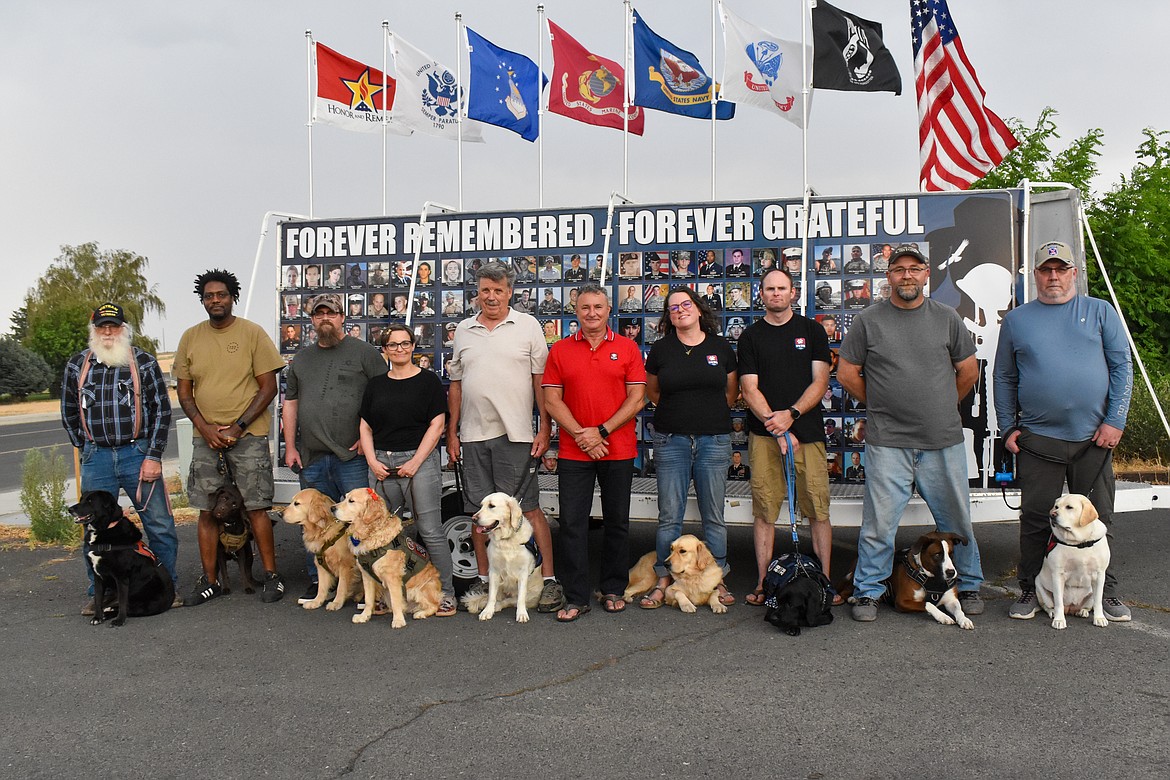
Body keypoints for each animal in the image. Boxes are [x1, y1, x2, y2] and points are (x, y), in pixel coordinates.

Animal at [68, 493, 173, 626]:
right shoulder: (98, 577)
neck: (105, 529)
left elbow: (123, 602)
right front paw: (97, 617)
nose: (69, 509)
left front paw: (119, 620)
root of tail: (171, 600)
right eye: (81, 499)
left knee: (128, 608)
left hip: (144, 603)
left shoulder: (121, 577)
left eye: (90, 501)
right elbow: (98, 599)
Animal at [334, 488, 442, 626]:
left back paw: (420, 613)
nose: (332, 508)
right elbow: (368, 599)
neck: (371, 533)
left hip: (422, 588)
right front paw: (364, 616)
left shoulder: (392, 577)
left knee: (434, 605)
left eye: (351, 501)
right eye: (345, 497)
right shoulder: (367, 575)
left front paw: (398, 620)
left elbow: (396, 602)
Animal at [460, 493, 542, 622]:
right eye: (481, 506)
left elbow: (521, 598)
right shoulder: (494, 571)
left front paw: (522, 614)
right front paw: (487, 611)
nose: (473, 519)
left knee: (509, 601)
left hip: (532, 595)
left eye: (491, 506)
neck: (506, 539)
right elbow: (491, 597)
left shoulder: (523, 572)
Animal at [1038, 498, 1109, 631]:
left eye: (1069, 507)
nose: (1052, 515)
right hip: (1039, 585)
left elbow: (1098, 602)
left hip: (1091, 593)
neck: (1079, 542)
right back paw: (1053, 612)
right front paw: (1059, 620)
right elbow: (1058, 602)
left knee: (1088, 605)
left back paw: (1082, 611)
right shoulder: (1058, 574)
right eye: (1056, 507)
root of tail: (1070, 607)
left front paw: (1099, 618)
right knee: (1048, 605)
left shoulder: (1099, 575)